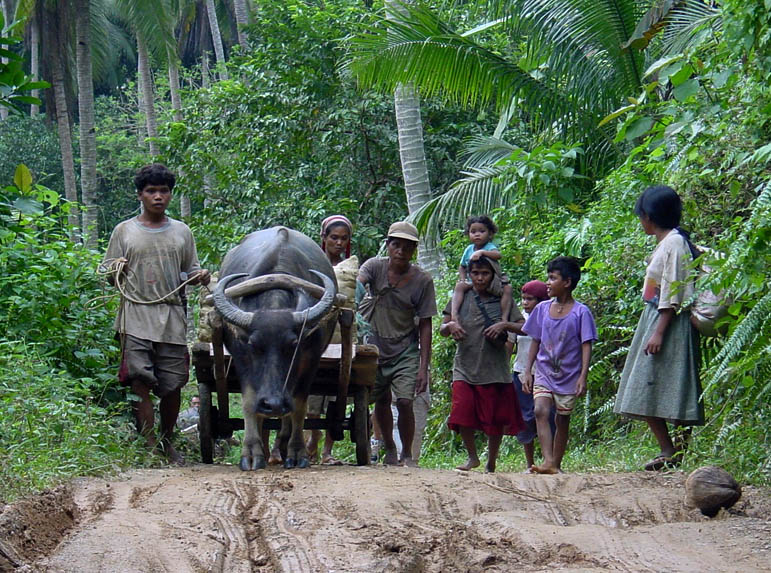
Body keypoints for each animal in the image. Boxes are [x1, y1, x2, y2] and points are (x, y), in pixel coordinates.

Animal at [214, 226, 340, 472]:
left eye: (293, 345)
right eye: (253, 345)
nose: (273, 403)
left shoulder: (310, 359)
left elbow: (298, 405)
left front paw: (296, 452)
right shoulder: (241, 358)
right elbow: (249, 402)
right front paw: (251, 453)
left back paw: (281, 446)